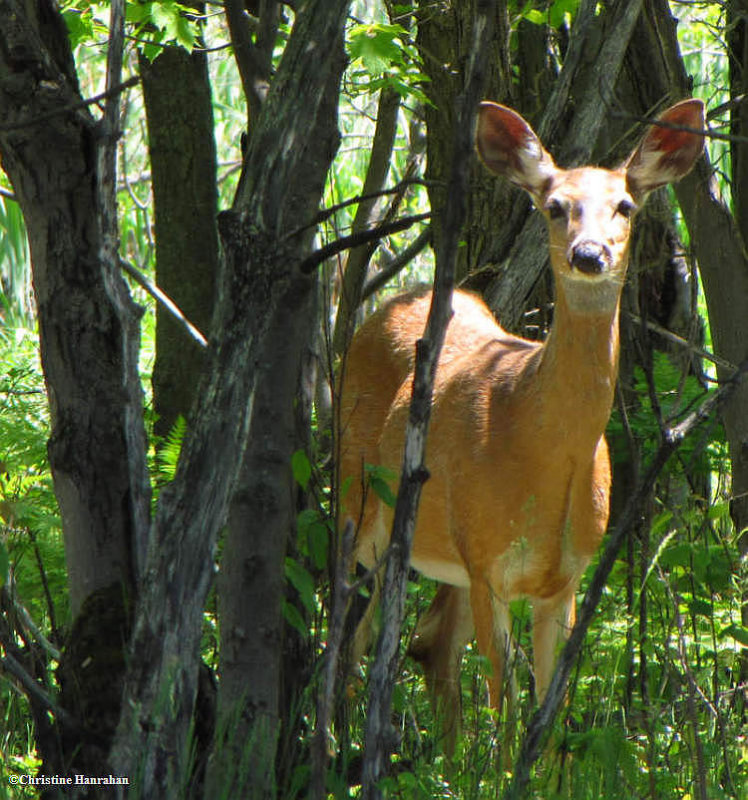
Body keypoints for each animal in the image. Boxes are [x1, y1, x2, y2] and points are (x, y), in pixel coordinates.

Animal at [342, 98, 704, 744]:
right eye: (555, 205)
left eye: (625, 205)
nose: (589, 255)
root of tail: (392, 302)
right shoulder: (488, 564)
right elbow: (507, 718)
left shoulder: (563, 580)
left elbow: (546, 720)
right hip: (356, 499)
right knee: (350, 639)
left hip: (446, 555)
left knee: (429, 644)